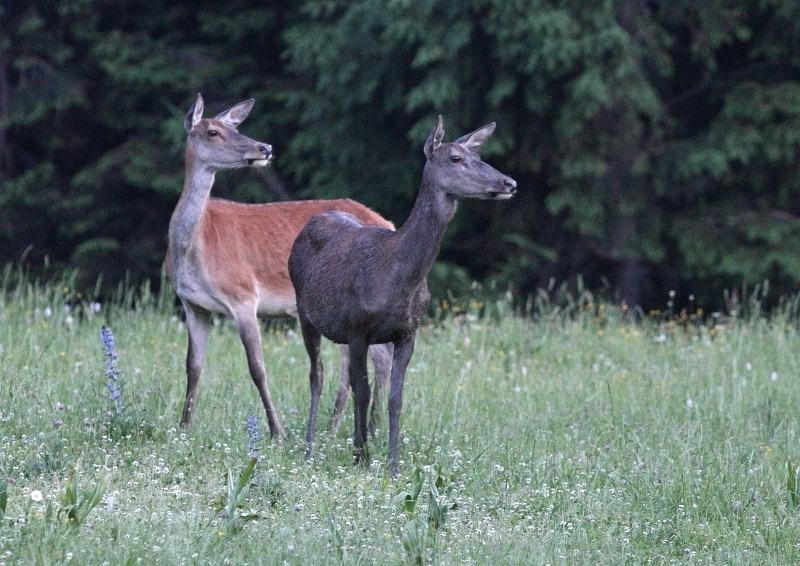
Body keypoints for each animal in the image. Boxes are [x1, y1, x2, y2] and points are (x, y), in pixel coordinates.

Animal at [167, 94, 396, 440]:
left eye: (235, 128)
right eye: (213, 131)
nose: (264, 148)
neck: (192, 248)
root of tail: (390, 224)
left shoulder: (243, 295)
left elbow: (257, 368)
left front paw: (277, 432)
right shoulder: (193, 304)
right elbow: (193, 365)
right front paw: (184, 427)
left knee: (381, 355)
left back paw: (371, 427)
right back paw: (337, 428)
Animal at [290, 115, 516, 474]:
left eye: (480, 156)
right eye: (456, 158)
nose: (509, 183)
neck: (397, 278)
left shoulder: (408, 332)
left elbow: (395, 397)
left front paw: (393, 464)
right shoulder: (358, 328)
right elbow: (365, 391)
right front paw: (362, 457)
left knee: (344, 379)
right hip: (304, 314)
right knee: (317, 376)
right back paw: (310, 448)